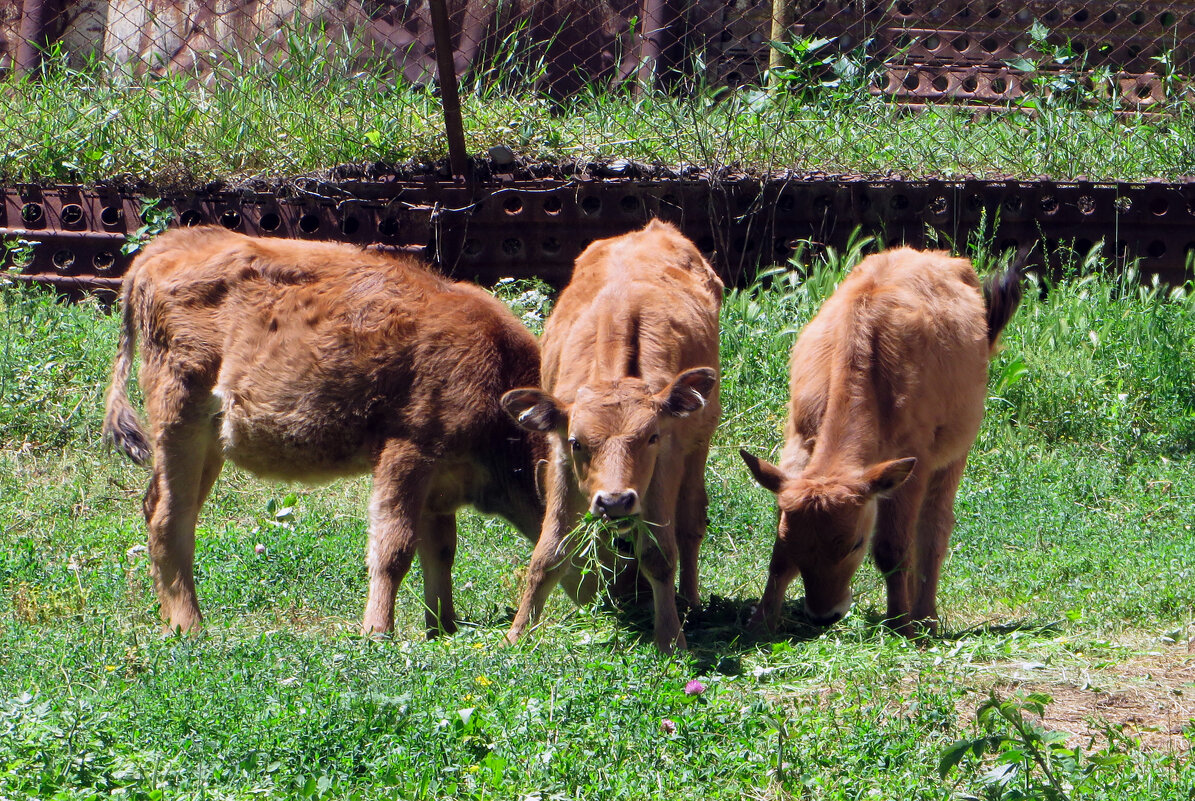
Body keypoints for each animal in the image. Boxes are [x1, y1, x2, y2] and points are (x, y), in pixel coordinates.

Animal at [103, 227, 547, 640]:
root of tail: (165, 247)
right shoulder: (409, 453)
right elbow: (394, 549)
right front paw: (378, 632)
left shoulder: (438, 485)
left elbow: (439, 551)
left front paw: (443, 629)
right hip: (180, 415)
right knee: (168, 516)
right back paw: (190, 627)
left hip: (208, 440)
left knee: (168, 509)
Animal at [501, 217, 721, 650]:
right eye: (578, 442)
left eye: (650, 438)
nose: (616, 501)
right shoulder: (560, 460)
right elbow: (549, 551)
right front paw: (518, 633)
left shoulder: (665, 463)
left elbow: (658, 554)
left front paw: (670, 636)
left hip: (698, 446)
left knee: (690, 521)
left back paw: (689, 600)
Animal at [740, 251, 1022, 640]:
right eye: (799, 542)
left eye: (855, 543)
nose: (823, 615)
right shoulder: (798, 446)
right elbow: (778, 554)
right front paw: (760, 623)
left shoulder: (912, 464)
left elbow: (893, 548)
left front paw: (901, 624)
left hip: (952, 456)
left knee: (933, 527)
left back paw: (924, 617)